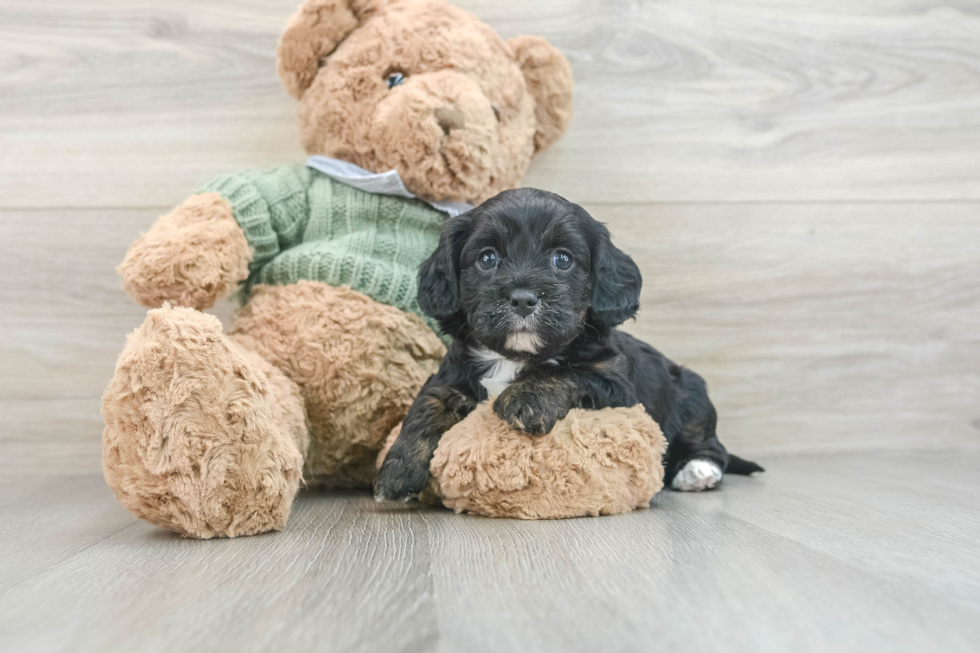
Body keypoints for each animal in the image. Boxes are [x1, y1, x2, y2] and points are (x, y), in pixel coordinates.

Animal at [372, 187, 760, 500]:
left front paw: (526, 397)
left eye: (562, 259)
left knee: (712, 445)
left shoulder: (616, 385)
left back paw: (697, 471)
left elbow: (567, 373)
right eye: (487, 258)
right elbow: (427, 405)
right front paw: (397, 470)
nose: (523, 298)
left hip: (693, 398)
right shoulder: (451, 375)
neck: (515, 356)